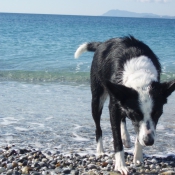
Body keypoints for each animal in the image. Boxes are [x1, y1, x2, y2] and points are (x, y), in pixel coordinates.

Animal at [74, 36, 175, 175]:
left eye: (157, 113)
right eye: (135, 114)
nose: (149, 142)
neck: (140, 74)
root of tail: (102, 43)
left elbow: (138, 133)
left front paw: (138, 156)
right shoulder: (114, 106)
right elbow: (117, 139)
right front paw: (121, 165)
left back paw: (126, 137)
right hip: (97, 98)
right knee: (98, 126)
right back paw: (100, 150)